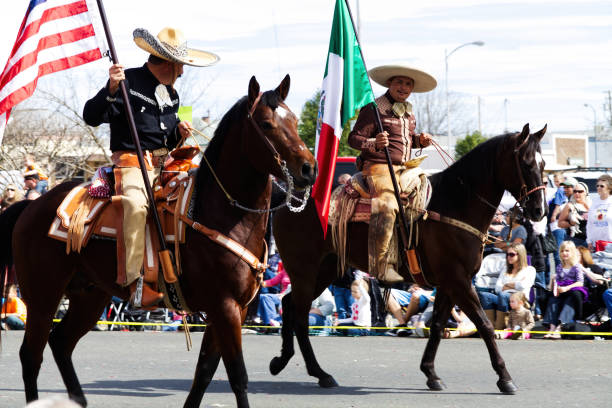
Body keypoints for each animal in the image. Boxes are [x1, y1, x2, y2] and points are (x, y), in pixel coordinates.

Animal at [0, 75, 316, 406]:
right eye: (266, 124)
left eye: (295, 121)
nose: (309, 168)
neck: (221, 212)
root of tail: (32, 205)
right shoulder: (225, 306)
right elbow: (237, 376)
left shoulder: (235, 309)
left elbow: (204, 372)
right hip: (43, 297)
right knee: (31, 355)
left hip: (90, 295)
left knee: (60, 343)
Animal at [270, 123, 548, 392]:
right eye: (525, 163)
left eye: (543, 164)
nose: (539, 211)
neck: (455, 204)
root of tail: (288, 200)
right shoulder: (458, 281)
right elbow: (485, 325)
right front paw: (505, 378)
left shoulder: (449, 283)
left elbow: (437, 326)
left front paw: (431, 373)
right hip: (304, 270)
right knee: (300, 317)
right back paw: (318, 372)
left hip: (323, 271)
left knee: (289, 305)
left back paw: (284, 361)